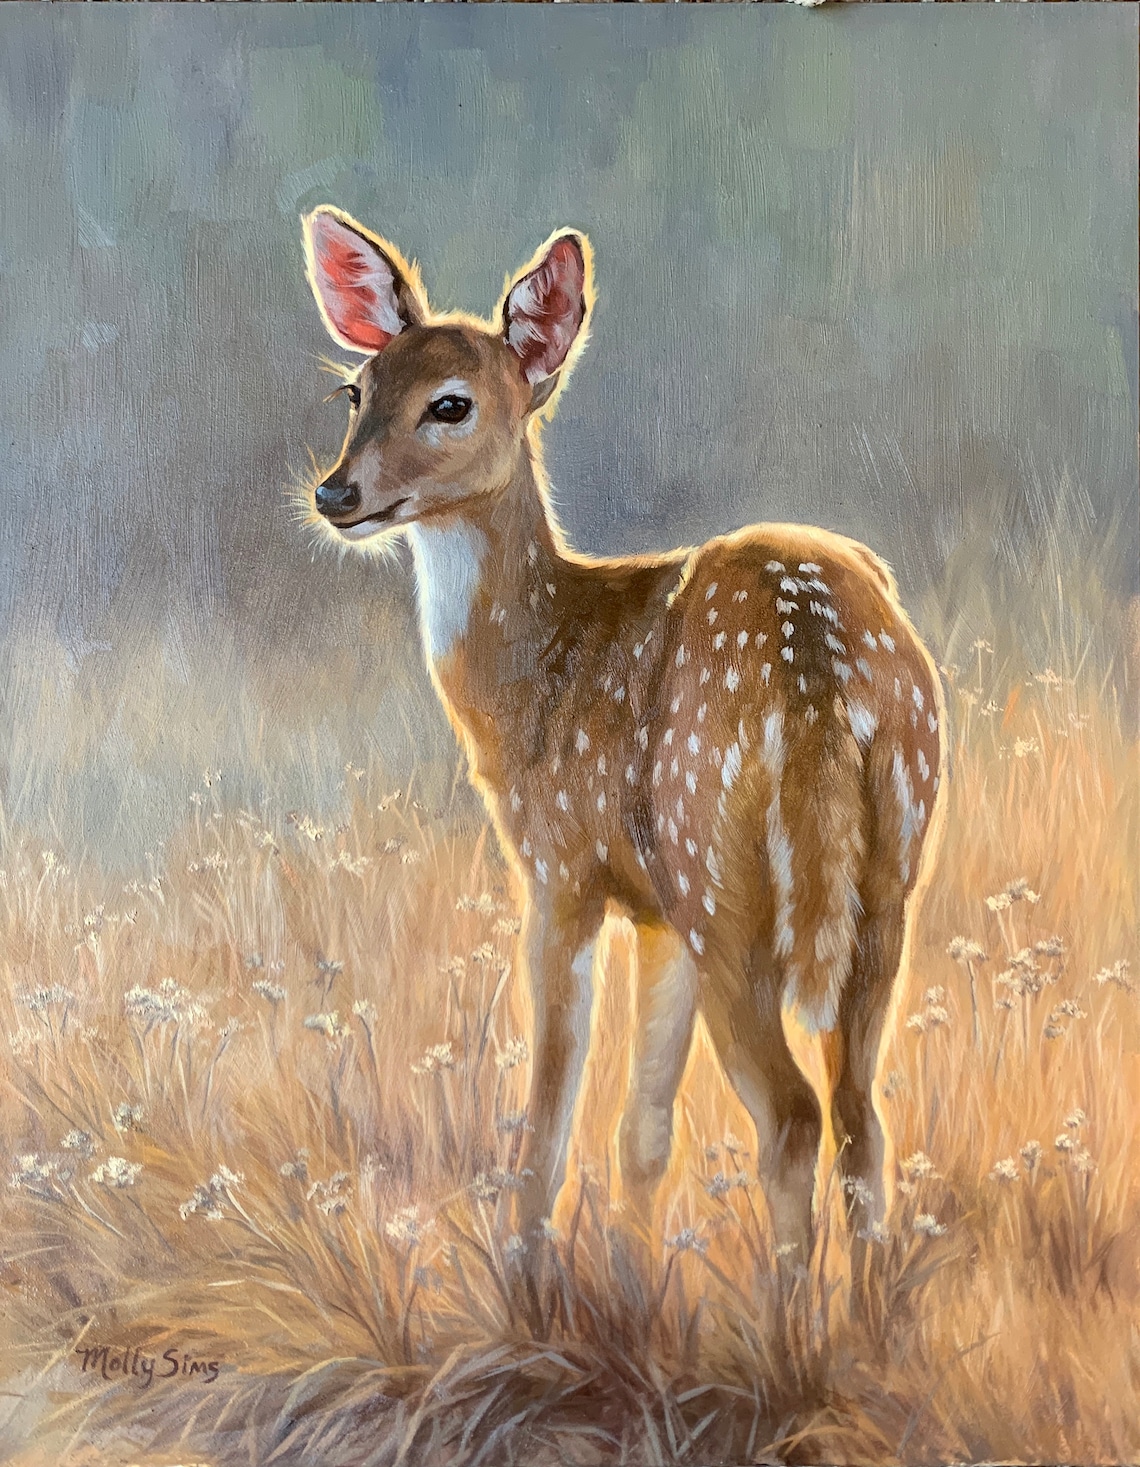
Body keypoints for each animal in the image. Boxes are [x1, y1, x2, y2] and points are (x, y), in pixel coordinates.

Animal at [299, 207, 947, 1267]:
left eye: (450, 405)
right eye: (356, 389)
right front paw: (629, 1280)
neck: (539, 672)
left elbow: (551, 1111)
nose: (335, 494)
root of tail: (822, 671)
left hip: (719, 868)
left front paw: (525, 1271)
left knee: (793, 1115)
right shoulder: (656, 912)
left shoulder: (562, 867)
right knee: (861, 1114)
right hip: (885, 867)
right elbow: (643, 1132)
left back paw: (787, 1310)